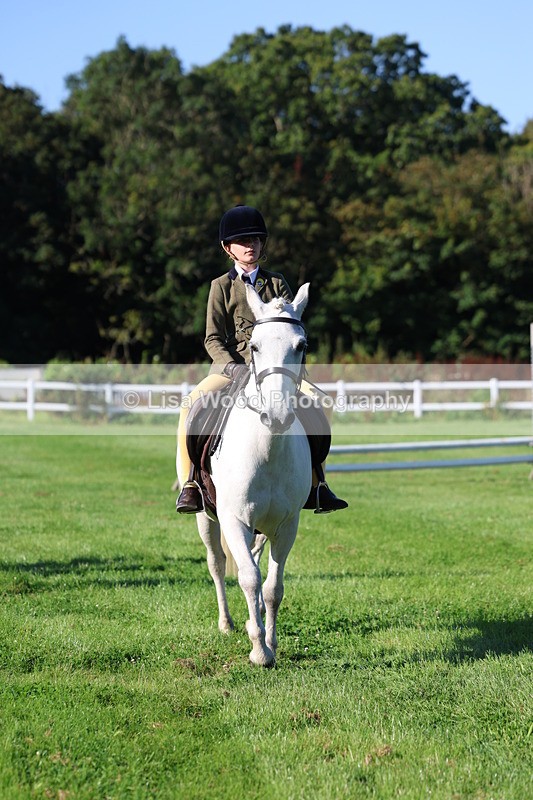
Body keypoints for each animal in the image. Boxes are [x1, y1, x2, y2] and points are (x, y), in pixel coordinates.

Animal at [186, 283, 312, 666]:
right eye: (254, 346)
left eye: (301, 345)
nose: (277, 416)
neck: (267, 449)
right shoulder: (234, 520)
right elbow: (248, 579)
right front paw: (258, 651)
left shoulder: (287, 525)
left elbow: (271, 588)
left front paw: (270, 643)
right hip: (206, 517)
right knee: (216, 563)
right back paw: (227, 623)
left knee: (254, 559)